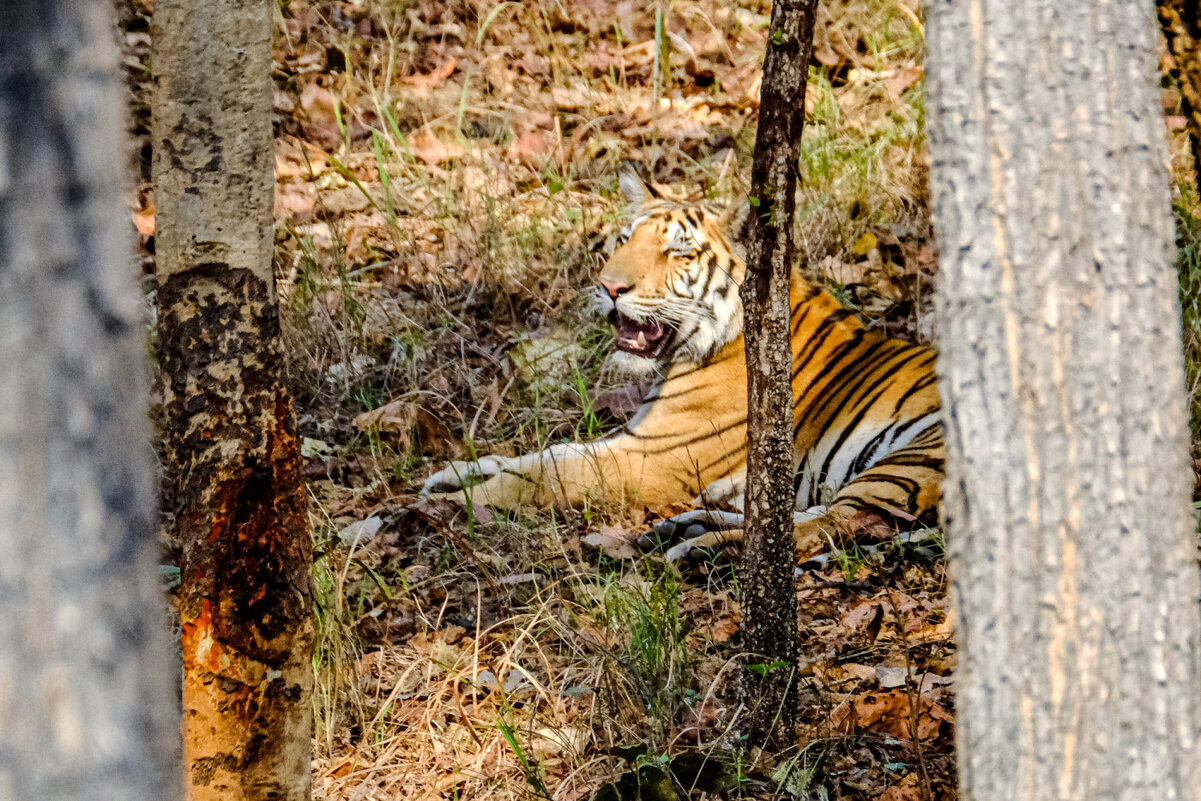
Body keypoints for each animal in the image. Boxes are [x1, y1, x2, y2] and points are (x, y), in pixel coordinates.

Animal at [425, 163, 946, 564]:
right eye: (623, 240)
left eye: (679, 251)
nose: (608, 287)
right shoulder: (637, 438)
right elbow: (544, 454)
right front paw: (453, 475)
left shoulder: (653, 455)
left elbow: (546, 473)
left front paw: (452, 506)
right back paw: (684, 526)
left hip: (912, 459)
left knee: (830, 526)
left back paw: (700, 548)